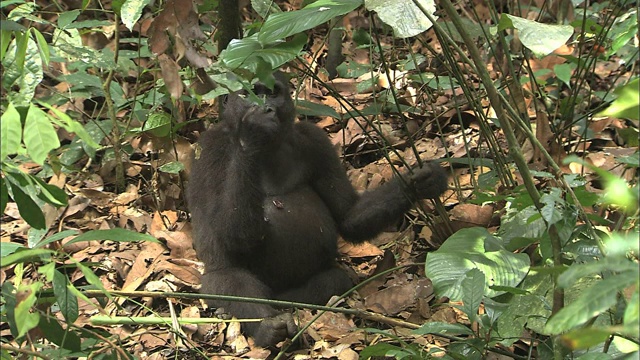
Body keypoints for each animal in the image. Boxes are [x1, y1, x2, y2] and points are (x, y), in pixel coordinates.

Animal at [188, 72, 448, 346]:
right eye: (250, 93)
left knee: (334, 280)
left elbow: (347, 216)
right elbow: (231, 238)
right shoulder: (209, 150)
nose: (266, 107)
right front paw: (252, 134)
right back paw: (268, 326)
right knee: (226, 281)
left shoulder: (315, 140)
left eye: (272, 92)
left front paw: (420, 183)